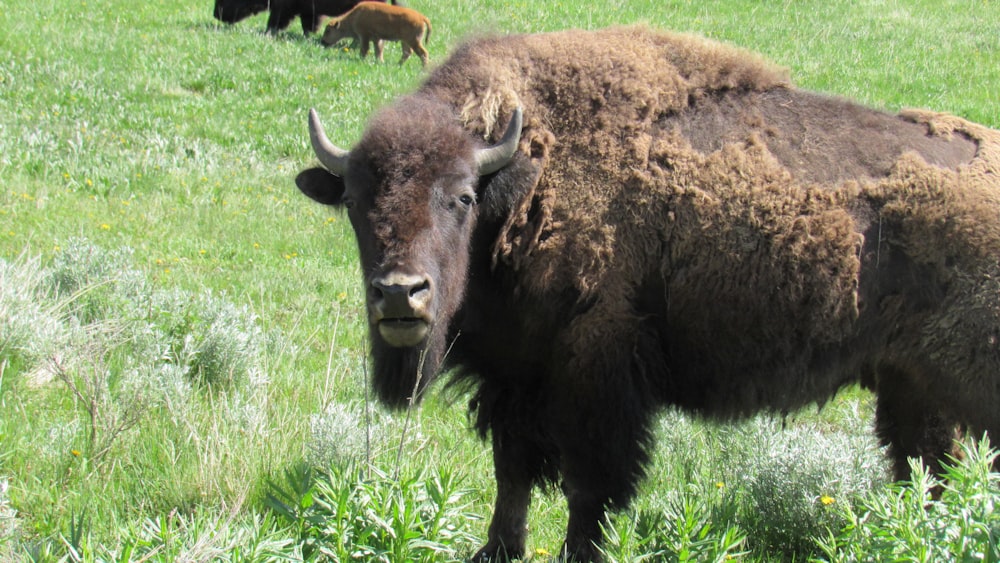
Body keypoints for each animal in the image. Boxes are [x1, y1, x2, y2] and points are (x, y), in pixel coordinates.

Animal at [292, 25, 1000, 563]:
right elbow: (512, 472)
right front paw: (495, 551)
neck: (524, 180)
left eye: (461, 196)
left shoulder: (595, 373)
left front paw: (579, 552)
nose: (400, 295)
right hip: (911, 385)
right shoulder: (515, 375)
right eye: (353, 202)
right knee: (927, 469)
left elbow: (590, 486)